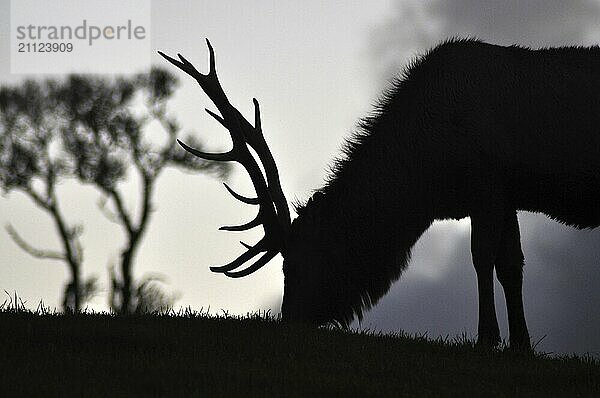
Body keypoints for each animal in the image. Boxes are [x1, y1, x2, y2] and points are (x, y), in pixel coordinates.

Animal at [159, 36, 600, 348]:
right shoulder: (506, 194)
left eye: (294, 264)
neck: (426, 181)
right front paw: (521, 346)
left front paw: (486, 339)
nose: (291, 320)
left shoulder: (486, 184)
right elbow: (511, 266)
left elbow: (481, 259)